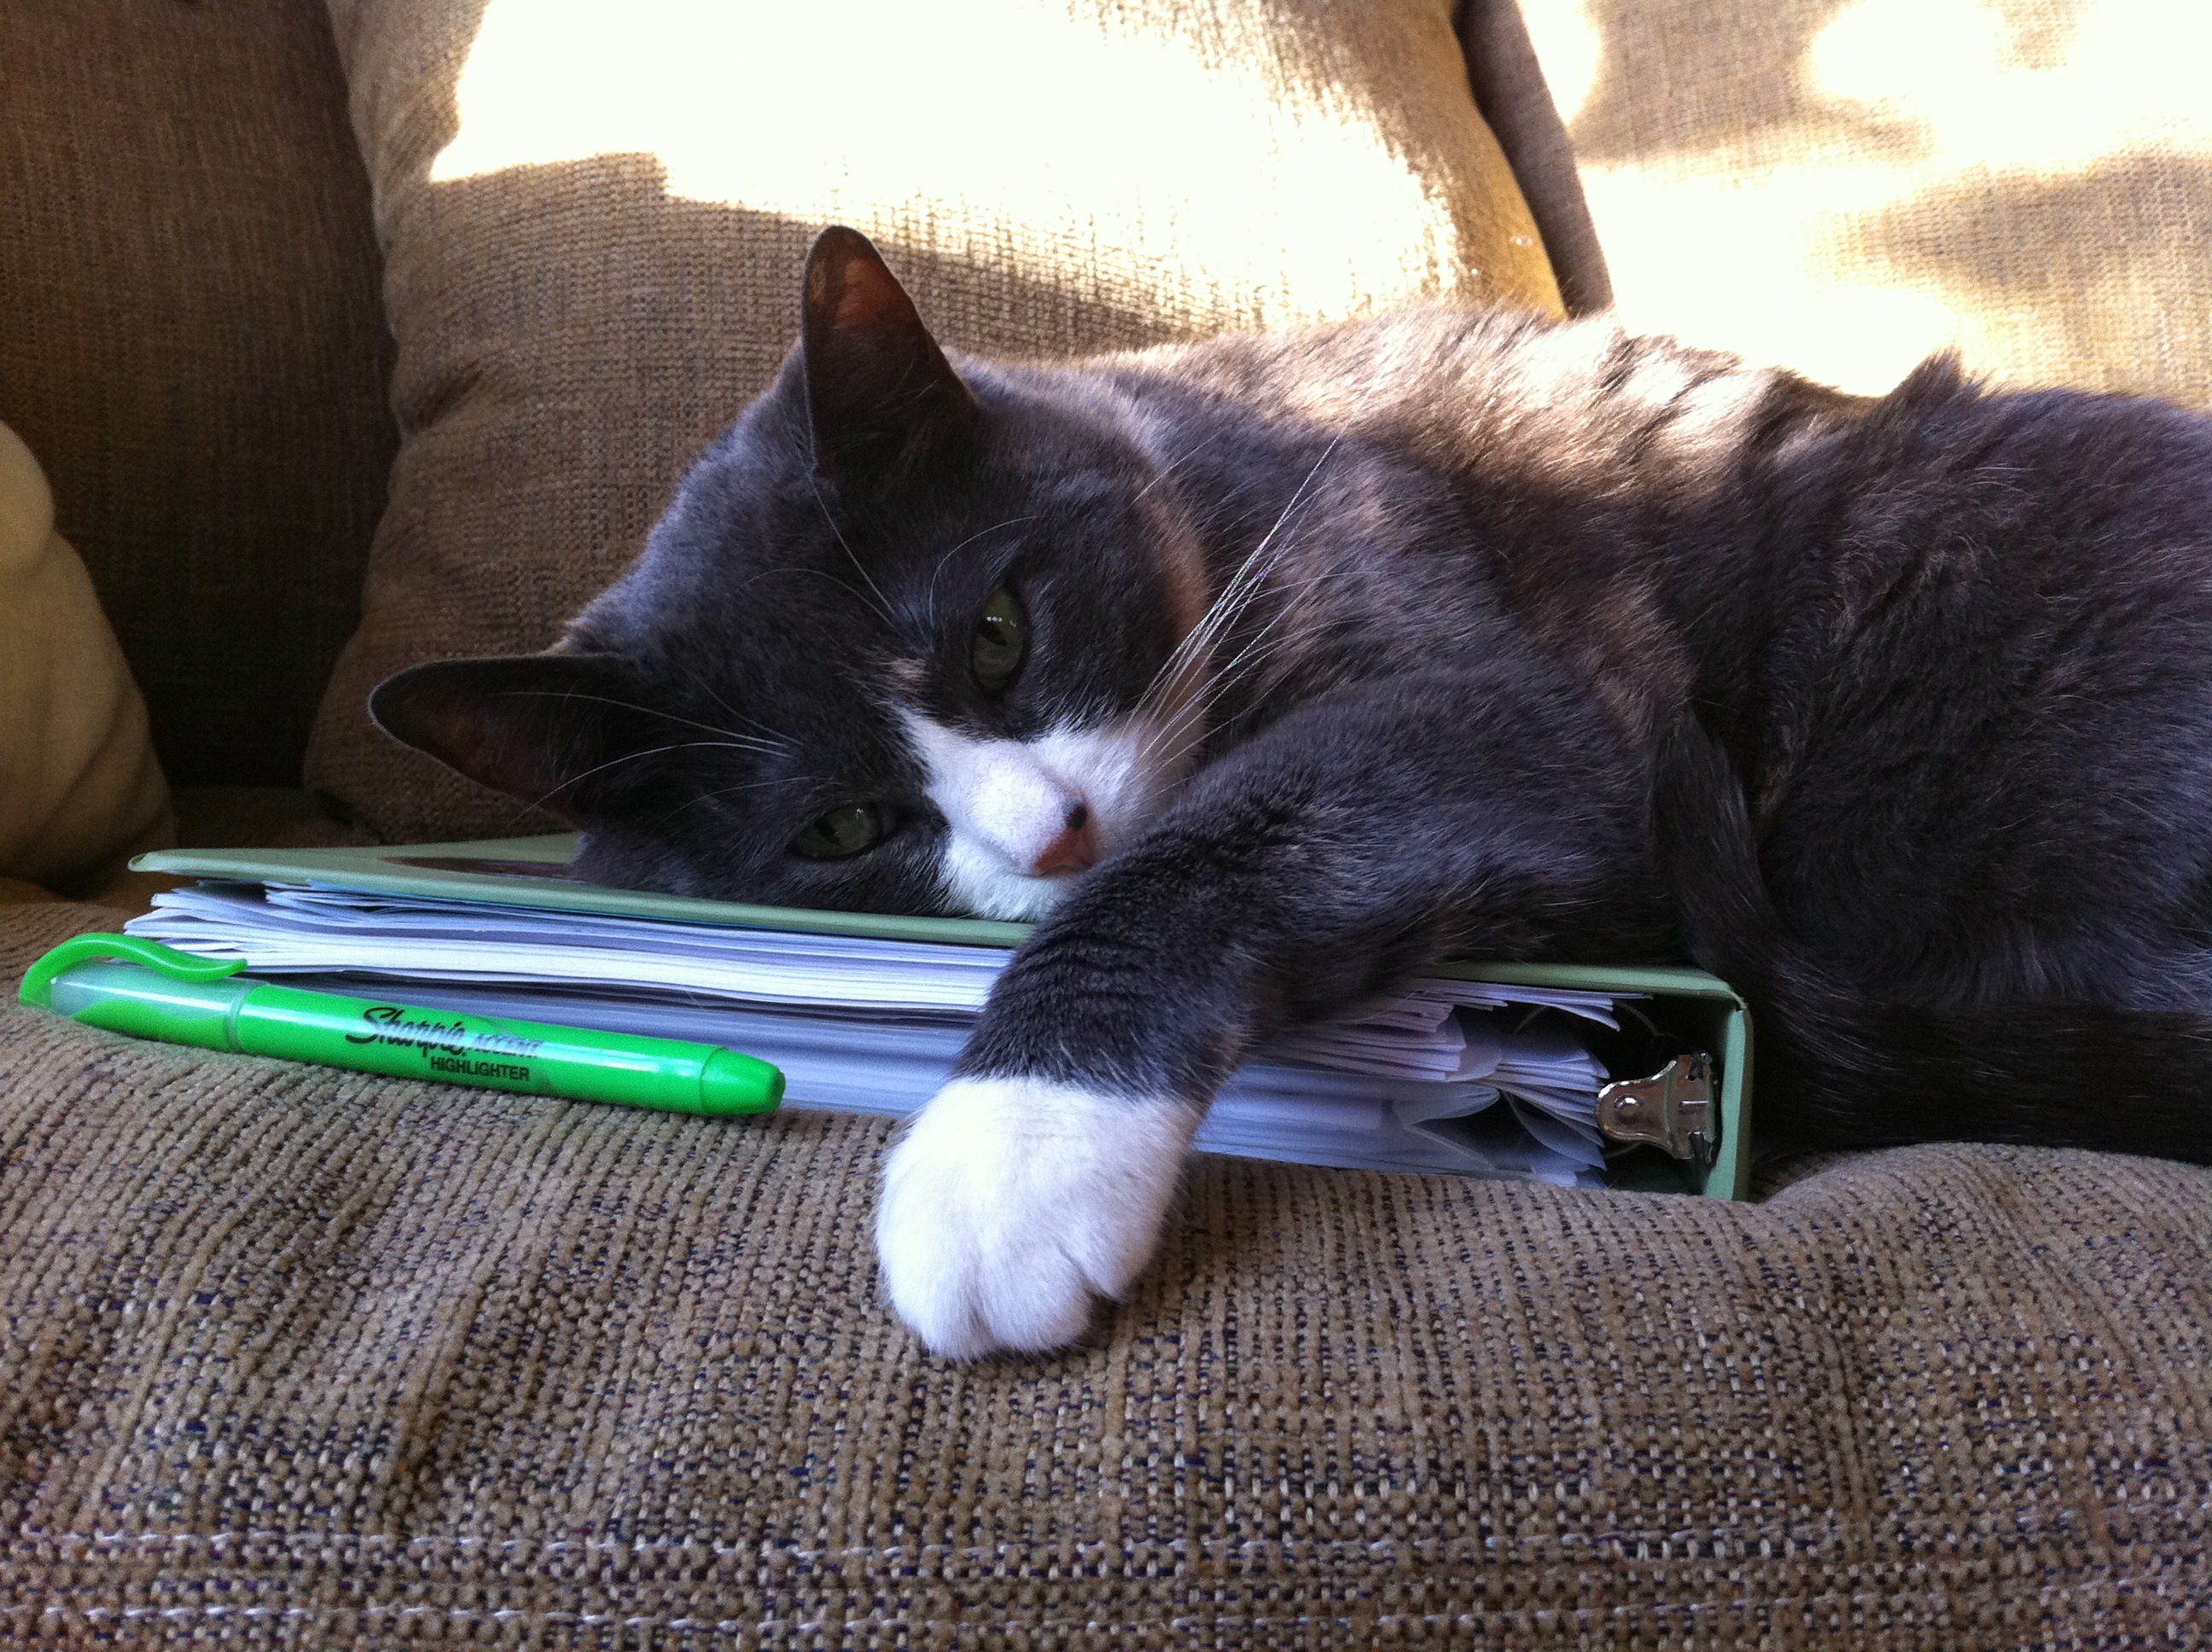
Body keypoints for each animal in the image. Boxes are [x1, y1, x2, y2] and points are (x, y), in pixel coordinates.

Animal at [373, 226, 2212, 1359]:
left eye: (998, 628)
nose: (1055, 829)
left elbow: (1217, 847)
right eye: (838, 827)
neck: (1195, 456)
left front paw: (1008, 1152)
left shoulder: (1478, 676)